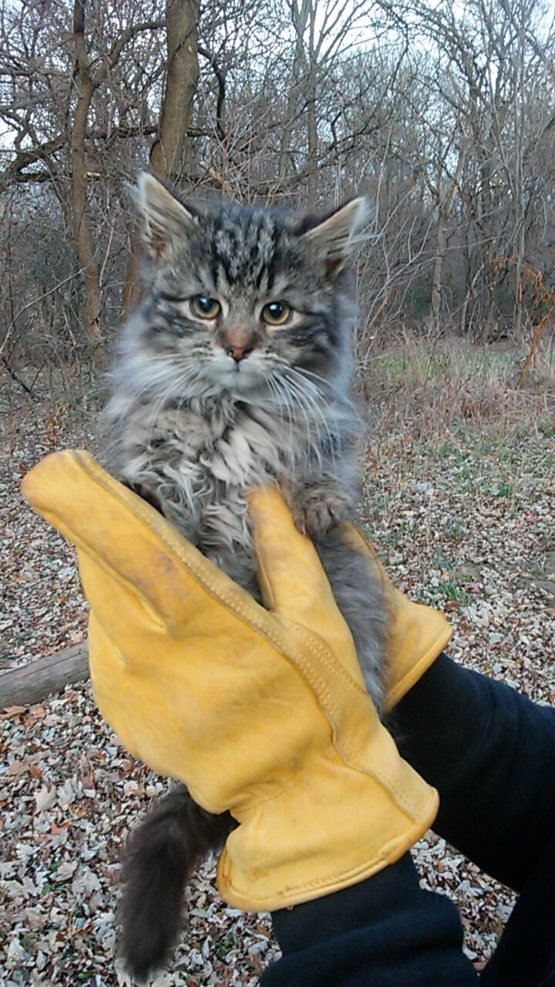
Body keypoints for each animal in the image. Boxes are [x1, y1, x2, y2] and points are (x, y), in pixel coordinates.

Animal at [105, 174, 390, 984]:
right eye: (206, 305)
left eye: (275, 312)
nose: (235, 347)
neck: (232, 412)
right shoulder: (161, 450)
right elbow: (163, 489)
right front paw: (148, 497)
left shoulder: (321, 440)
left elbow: (319, 470)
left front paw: (317, 502)